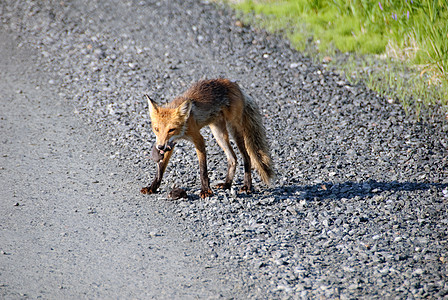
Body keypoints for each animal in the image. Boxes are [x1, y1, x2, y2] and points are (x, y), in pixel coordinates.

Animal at [140, 78, 274, 198]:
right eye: (156, 129)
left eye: (171, 130)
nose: (160, 147)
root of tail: (235, 85)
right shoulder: (171, 144)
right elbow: (161, 168)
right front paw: (153, 187)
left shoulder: (198, 139)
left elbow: (203, 169)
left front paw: (205, 190)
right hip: (218, 133)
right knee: (233, 158)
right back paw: (227, 184)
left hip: (234, 130)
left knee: (247, 158)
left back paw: (247, 186)